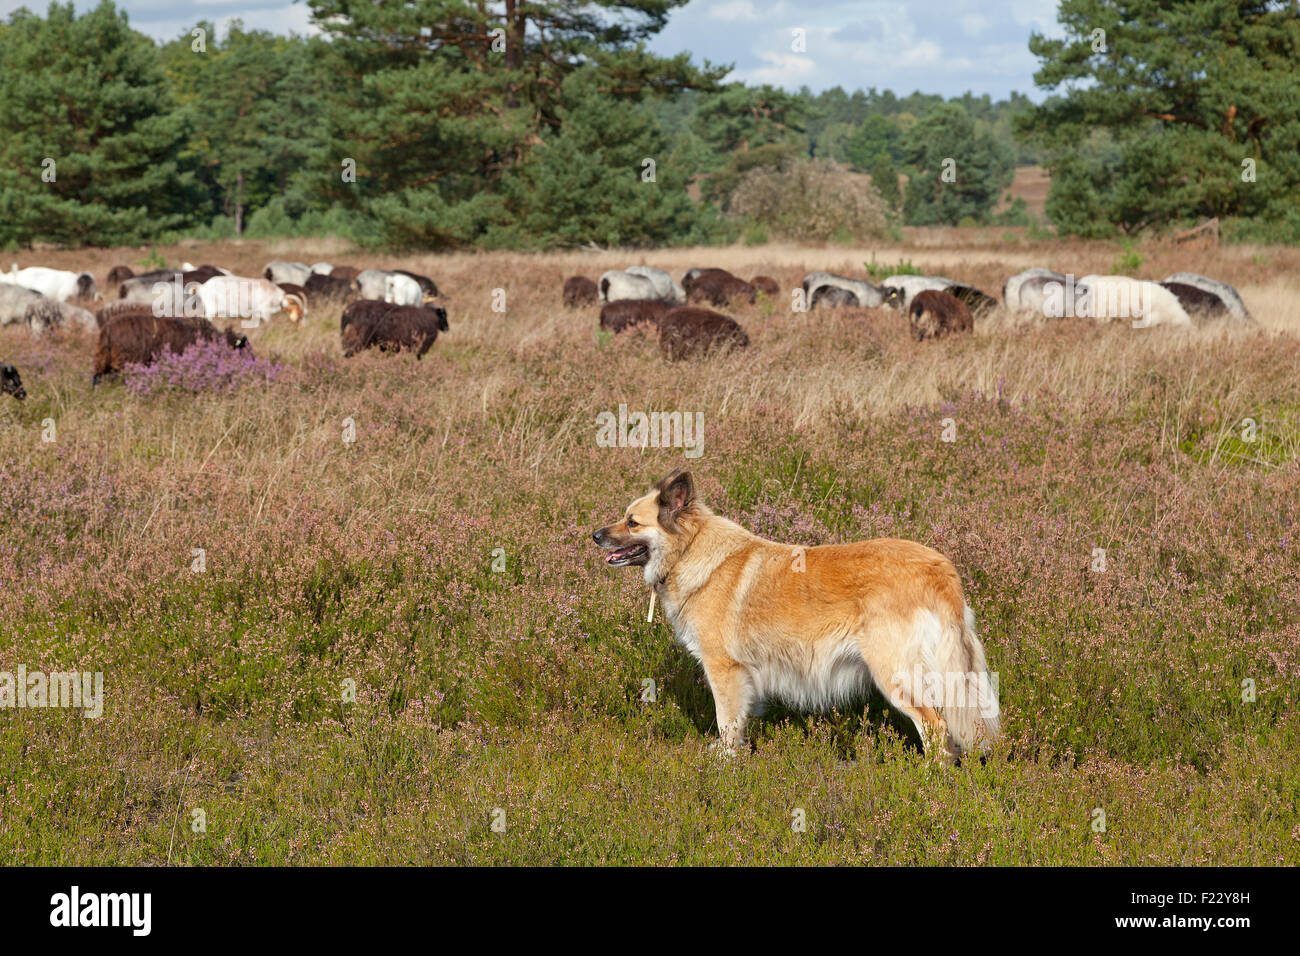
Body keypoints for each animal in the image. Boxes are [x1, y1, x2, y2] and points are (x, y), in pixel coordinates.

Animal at [595, 470, 998, 764]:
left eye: (632, 523)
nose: (595, 535)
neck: (690, 549)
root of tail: (941, 570)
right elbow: (741, 721)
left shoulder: (723, 669)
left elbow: (726, 723)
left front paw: (723, 762)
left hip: (896, 675)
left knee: (936, 728)